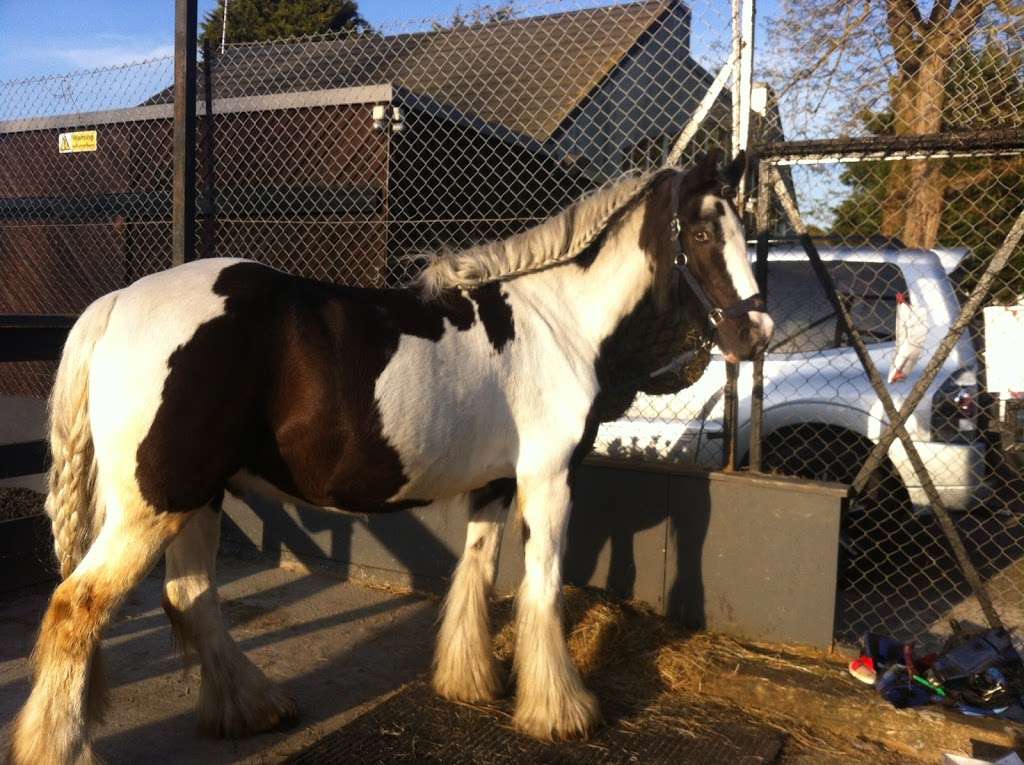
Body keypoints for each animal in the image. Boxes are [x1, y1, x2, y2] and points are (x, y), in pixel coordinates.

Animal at [12, 152, 770, 761]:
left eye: (741, 230)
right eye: (704, 232)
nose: (755, 332)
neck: (557, 325)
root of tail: (117, 302)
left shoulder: (497, 483)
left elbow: (477, 572)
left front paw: (469, 681)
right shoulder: (548, 480)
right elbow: (543, 587)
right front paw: (561, 711)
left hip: (197, 497)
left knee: (192, 598)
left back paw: (254, 707)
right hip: (157, 503)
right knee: (76, 608)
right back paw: (63, 747)